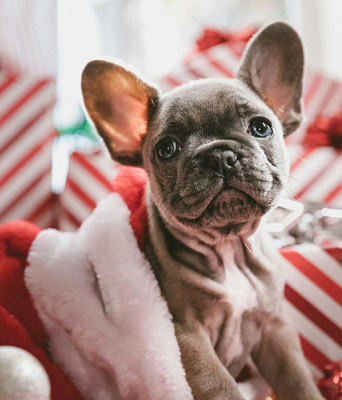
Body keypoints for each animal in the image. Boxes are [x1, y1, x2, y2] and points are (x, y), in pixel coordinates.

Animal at [81, 21, 324, 400]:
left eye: (261, 127)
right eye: (166, 149)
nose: (219, 155)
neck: (229, 248)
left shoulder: (275, 329)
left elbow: (298, 381)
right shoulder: (188, 339)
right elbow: (222, 388)